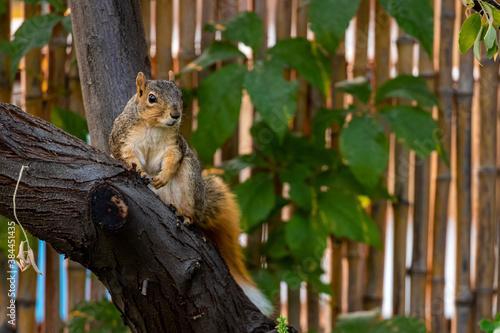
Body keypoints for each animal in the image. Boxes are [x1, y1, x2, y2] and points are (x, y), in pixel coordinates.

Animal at [109, 70, 272, 314]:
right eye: (151, 98)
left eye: (181, 95)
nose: (175, 115)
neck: (154, 126)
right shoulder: (123, 140)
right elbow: (127, 157)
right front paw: (139, 171)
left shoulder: (175, 145)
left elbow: (172, 159)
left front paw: (163, 177)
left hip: (188, 180)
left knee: (191, 210)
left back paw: (182, 213)